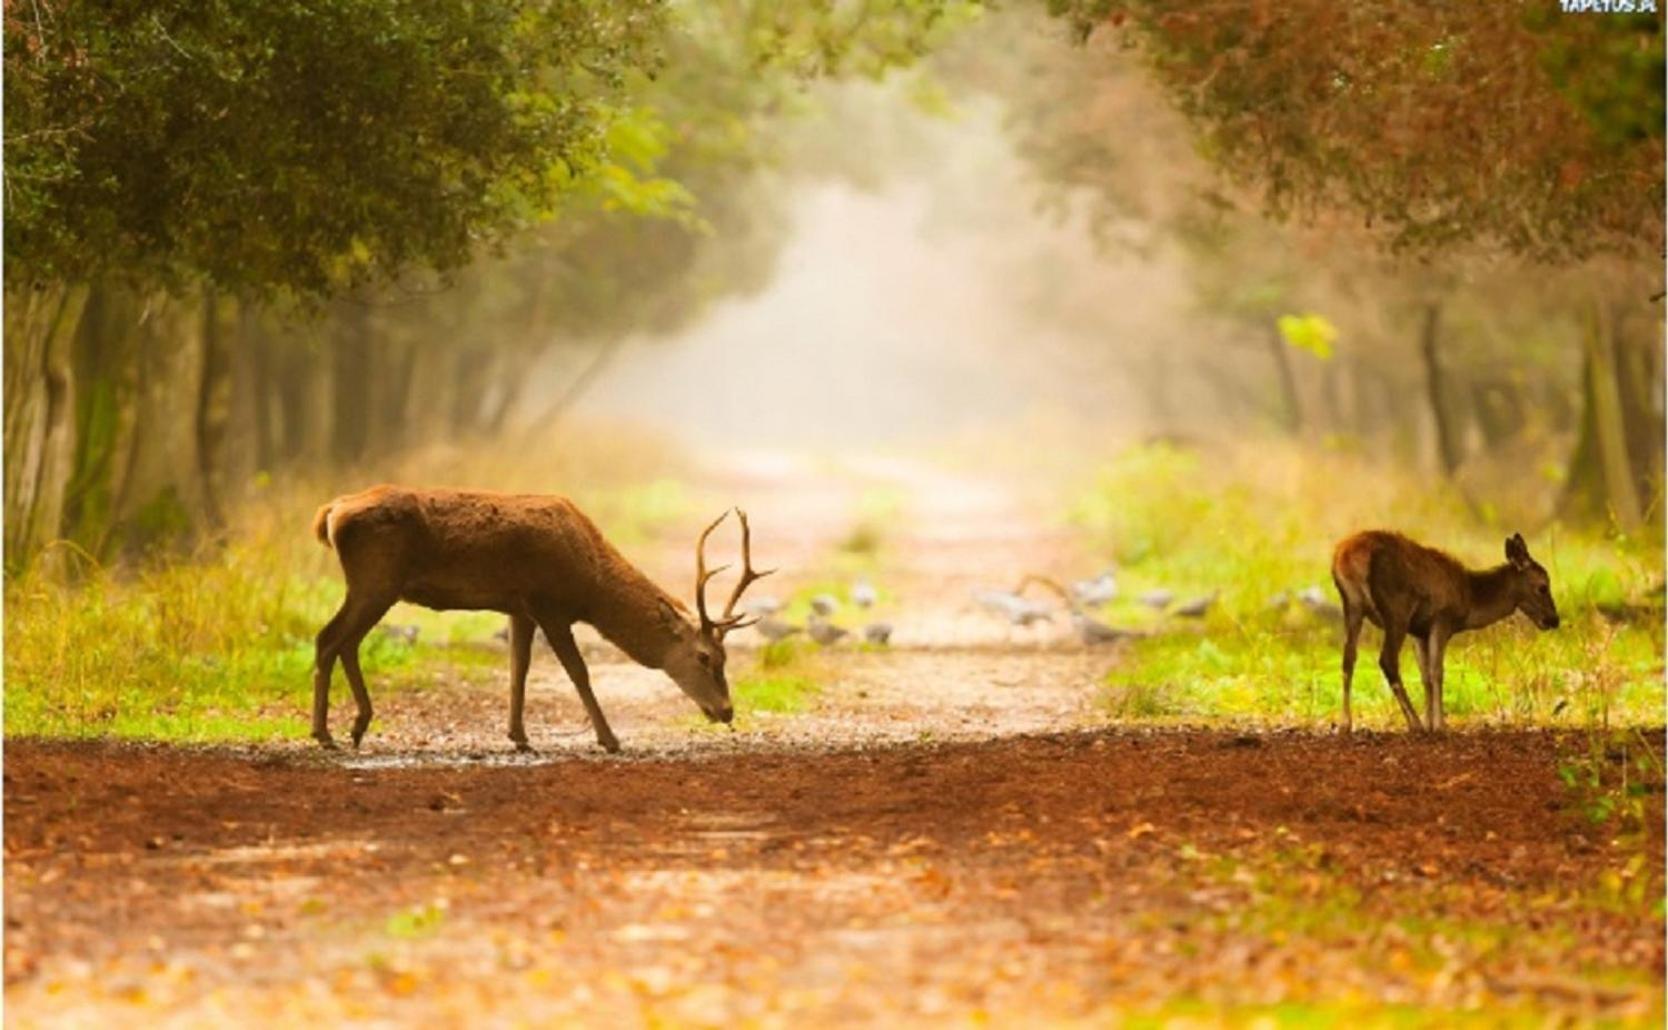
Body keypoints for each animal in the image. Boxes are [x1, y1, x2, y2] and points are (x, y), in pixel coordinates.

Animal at [310, 486, 770, 750]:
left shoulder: (520, 608)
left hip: (373, 585)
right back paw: (326, 733)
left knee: (343, 641)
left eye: (726, 659)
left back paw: (355, 727)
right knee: (329, 638)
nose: (727, 710)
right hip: (376, 579)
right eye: (706, 657)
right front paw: (609, 739)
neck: (590, 584)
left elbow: (519, 669)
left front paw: (519, 737)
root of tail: (330, 512)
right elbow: (578, 672)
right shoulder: (550, 604)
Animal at [1334, 530, 1554, 730]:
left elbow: (1425, 676)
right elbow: (1437, 672)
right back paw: (1414, 723)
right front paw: (1439, 725)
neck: (1469, 599)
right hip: (1397, 610)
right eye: (1543, 587)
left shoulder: (1419, 632)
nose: (1554, 619)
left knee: (1348, 658)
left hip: (1352, 606)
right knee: (1387, 660)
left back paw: (1345, 723)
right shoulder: (1441, 620)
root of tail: (1346, 558)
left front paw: (1430, 722)